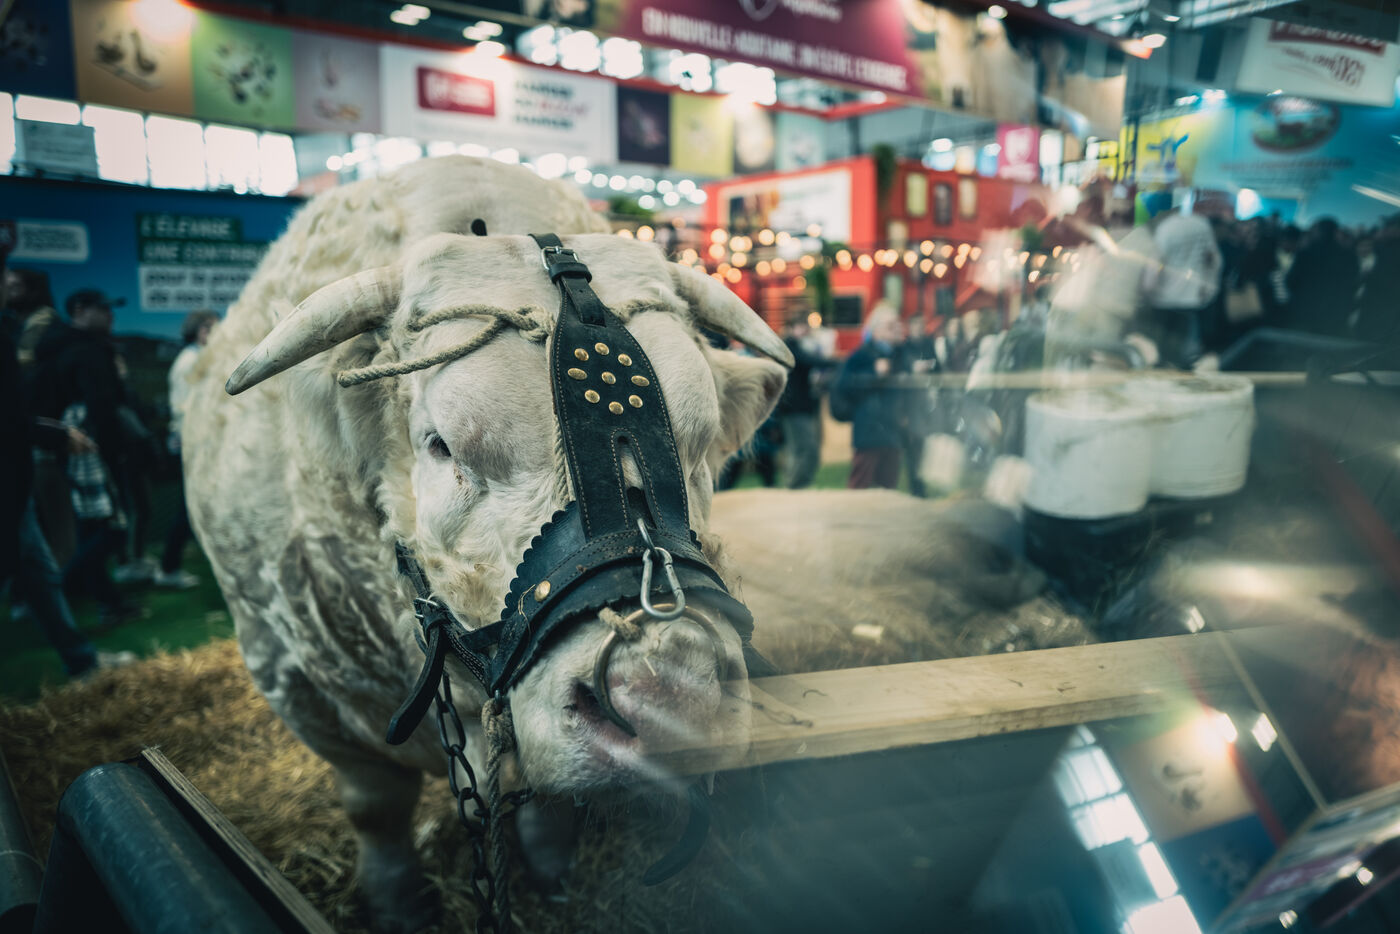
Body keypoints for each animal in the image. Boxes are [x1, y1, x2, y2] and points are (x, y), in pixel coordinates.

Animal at [182, 156, 794, 929]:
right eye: (441, 446)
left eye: (705, 442)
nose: (670, 694)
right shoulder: (295, 680)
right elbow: (374, 805)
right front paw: (397, 900)